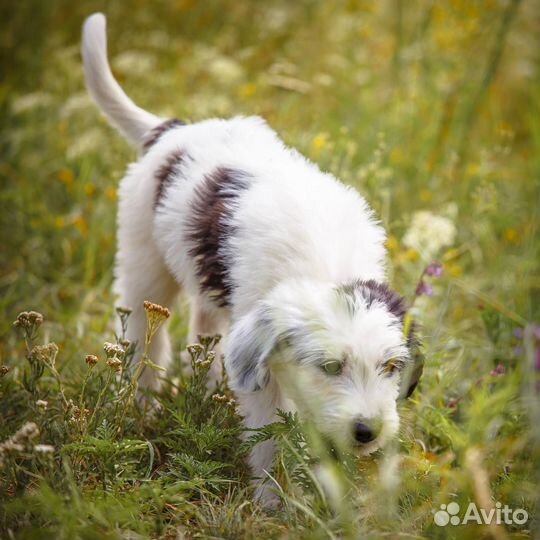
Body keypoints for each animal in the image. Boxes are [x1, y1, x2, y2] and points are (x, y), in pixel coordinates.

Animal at [82, 14, 424, 508]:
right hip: (142, 263)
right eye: (330, 367)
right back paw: (141, 405)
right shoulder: (266, 370)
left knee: (201, 333)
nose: (368, 432)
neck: (325, 266)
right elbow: (270, 435)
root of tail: (173, 131)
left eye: (392, 367)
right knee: (146, 340)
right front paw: (274, 503)